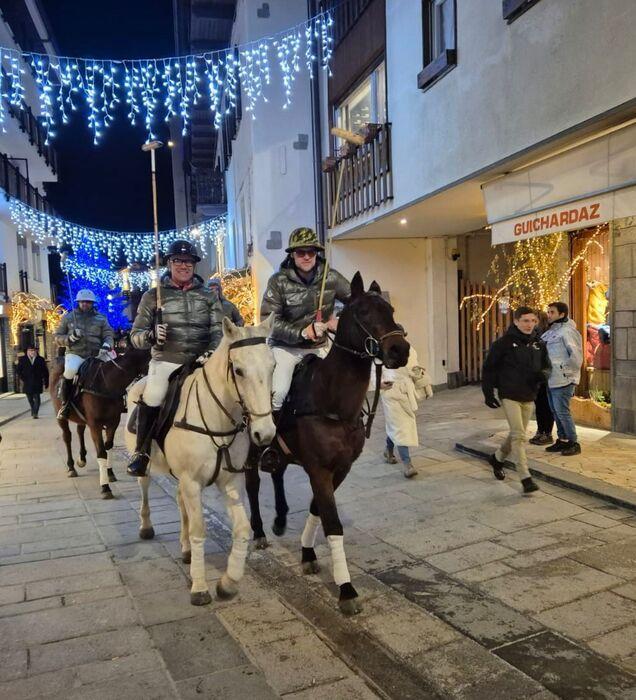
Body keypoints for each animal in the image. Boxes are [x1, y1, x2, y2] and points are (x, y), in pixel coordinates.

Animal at [50, 346, 150, 498]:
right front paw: (105, 487)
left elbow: (108, 447)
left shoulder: (113, 422)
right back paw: (71, 467)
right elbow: (101, 452)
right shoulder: (95, 425)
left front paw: (109, 473)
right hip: (61, 418)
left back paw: (82, 459)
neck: (106, 384)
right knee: (67, 437)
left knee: (80, 431)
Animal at [123, 318, 274, 608]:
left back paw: (186, 550)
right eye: (238, 370)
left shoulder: (229, 481)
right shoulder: (192, 482)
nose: (266, 433)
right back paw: (146, 527)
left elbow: (242, 529)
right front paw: (200, 588)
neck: (218, 418)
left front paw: (228, 583)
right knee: (144, 488)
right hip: (147, 466)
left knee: (180, 502)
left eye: (273, 366)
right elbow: (199, 530)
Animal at [246, 272, 410, 612]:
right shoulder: (319, 468)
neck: (332, 401)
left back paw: (279, 519)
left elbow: (317, 509)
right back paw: (258, 531)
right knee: (252, 484)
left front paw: (307, 553)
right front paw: (346, 589)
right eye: (362, 311)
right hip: (250, 445)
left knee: (277, 471)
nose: (400, 350)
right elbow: (333, 523)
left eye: (390, 309)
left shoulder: (340, 467)